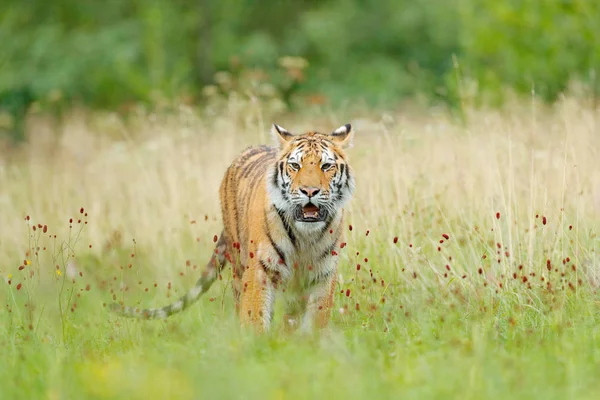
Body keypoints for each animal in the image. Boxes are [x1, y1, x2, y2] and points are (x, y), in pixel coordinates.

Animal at [111, 122, 356, 332]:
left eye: (326, 166)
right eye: (295, 165)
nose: (309, 191)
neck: (305, 235)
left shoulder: (323, 274)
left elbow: (316, 320)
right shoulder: (260, 270)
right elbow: (255, 316)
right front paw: (257, 346)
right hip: (239, 265)